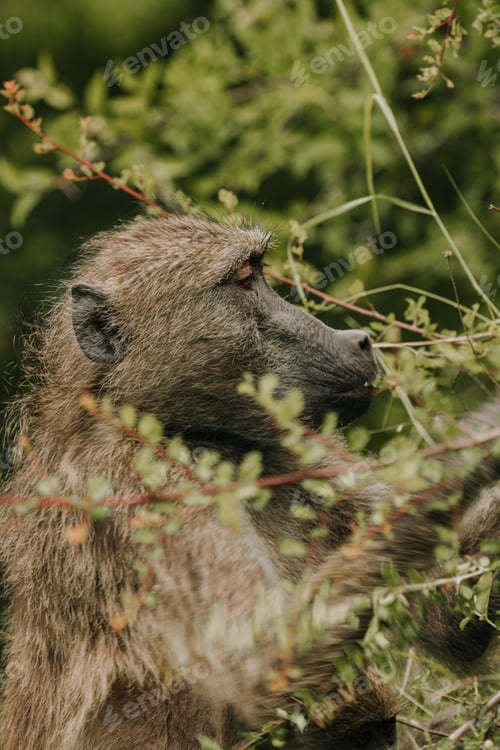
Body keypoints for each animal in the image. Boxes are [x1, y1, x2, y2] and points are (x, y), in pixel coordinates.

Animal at [0, 215, 497, 750]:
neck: (189, 436)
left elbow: (457, 626)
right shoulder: (143, 490)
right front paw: (462, 462)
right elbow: (264, 666)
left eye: (261, 272)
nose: (360, 340)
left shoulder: (299, 454)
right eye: (244, 281)